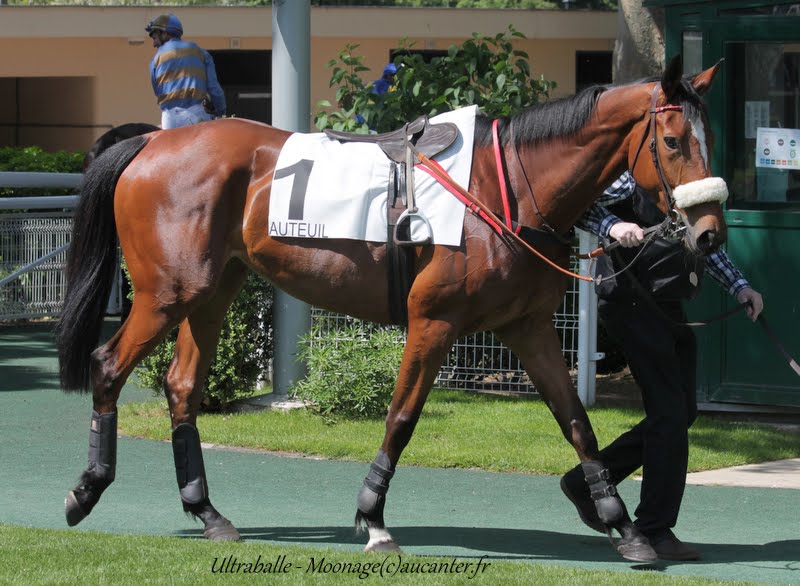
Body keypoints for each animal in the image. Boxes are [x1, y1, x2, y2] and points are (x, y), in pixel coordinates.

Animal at [56, 57, 724, 560]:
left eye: (708, 140)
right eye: (672, 141)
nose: (711, 233)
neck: (504, 187)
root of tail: (152, 140)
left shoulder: (528, 328)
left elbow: (577, 423)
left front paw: (622, 523)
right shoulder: (435, 321)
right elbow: (401, 418)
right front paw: (372, 518)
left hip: (213, 290)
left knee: (182, 386)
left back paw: (207, 511)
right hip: (169, 293)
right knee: (108, 365)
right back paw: (87, 490)